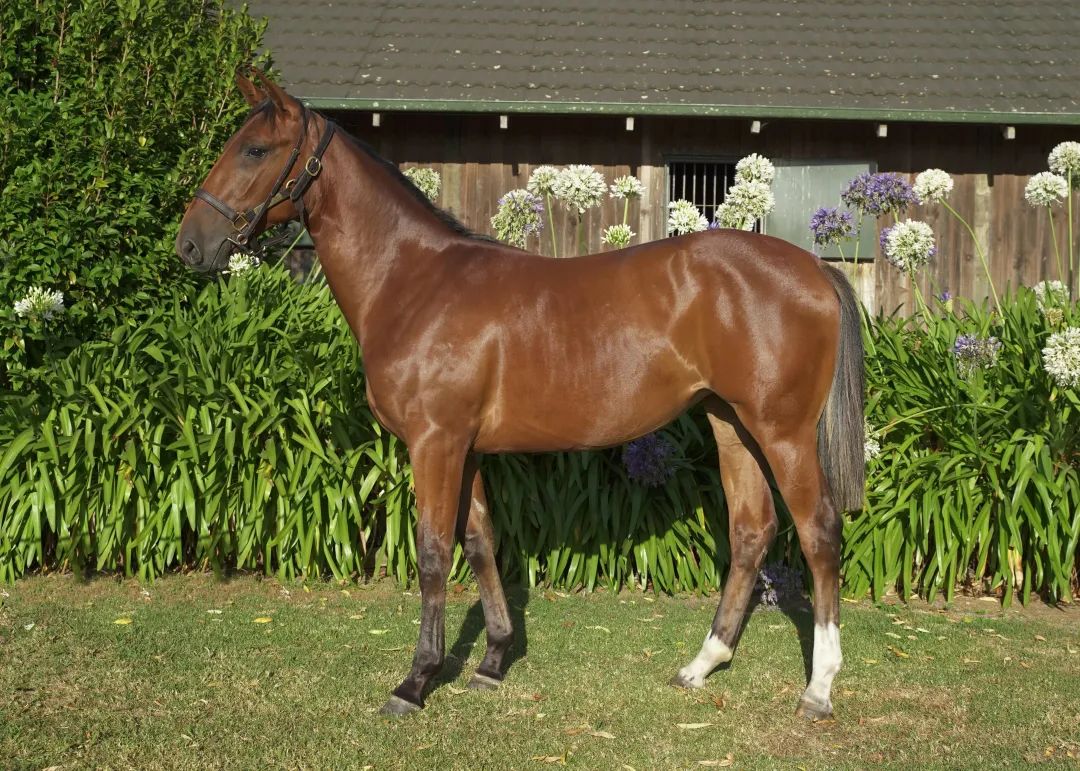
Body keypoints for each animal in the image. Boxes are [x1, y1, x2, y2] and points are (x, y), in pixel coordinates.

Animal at [176, 71, 865, 720]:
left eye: (256, 149)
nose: (190, 244)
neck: (414, 283)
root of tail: (813, 268)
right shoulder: (467, 448)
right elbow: (480, 542)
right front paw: (492, 661)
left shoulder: (435, 443)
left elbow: (433, 551)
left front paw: (416, 681)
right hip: (731, 423)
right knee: (752, 531)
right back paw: (701, 664)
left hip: (782, 431)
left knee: (818, 531)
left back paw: (819, 688)